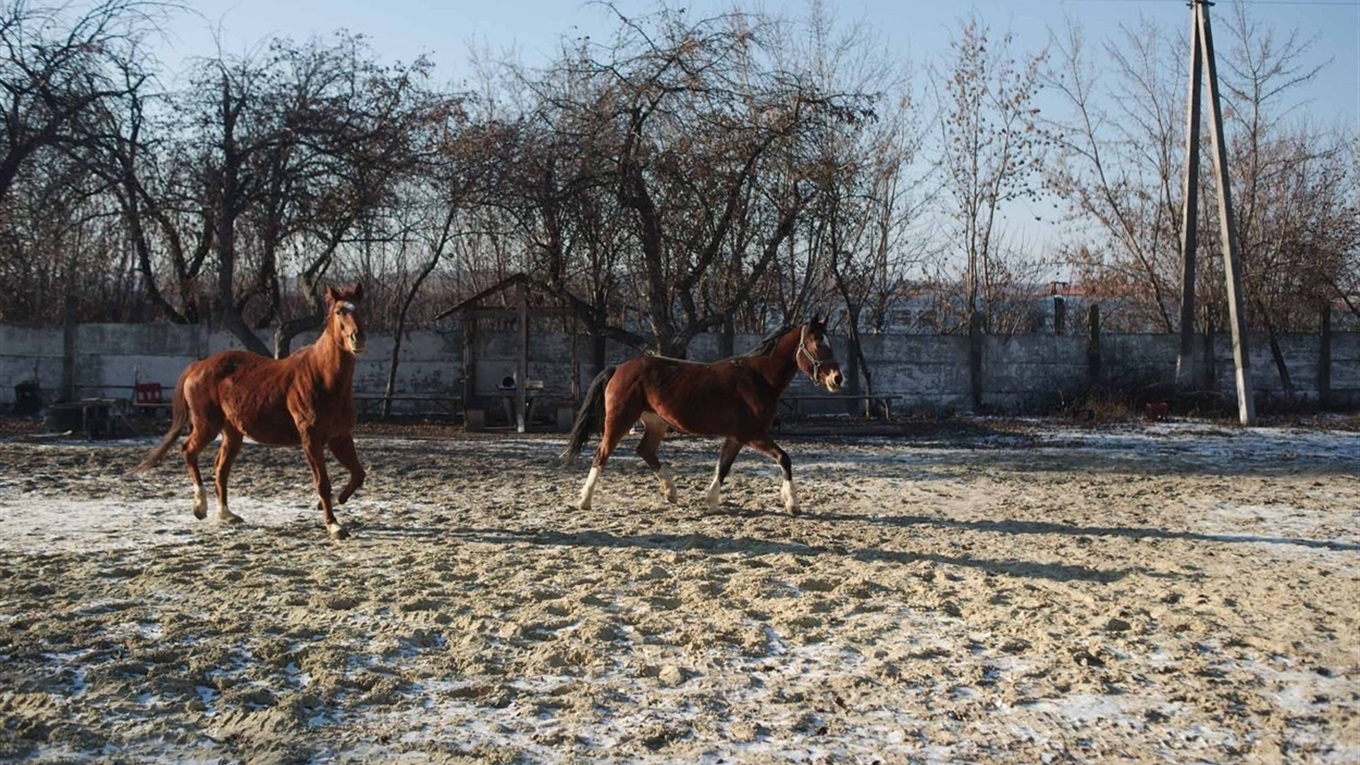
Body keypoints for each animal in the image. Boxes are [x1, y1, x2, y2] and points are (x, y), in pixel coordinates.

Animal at [131, 283, 367, 539]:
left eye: (361, 308)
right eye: (339, 311)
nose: (358, 339)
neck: (323, 377)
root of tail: (198, 366)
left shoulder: (339, 437)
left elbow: (358, 474)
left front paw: (331, 503)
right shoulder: (311, 440)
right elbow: (323, 482)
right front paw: (334, 525)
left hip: (232, 433)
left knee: (221, 469)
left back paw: (226, 514)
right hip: (207, 425)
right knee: (188, 451)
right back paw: (200, 506)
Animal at [560, 315, 837, 511]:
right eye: (817, 343)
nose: (837, 378)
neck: (758, 378)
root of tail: (618, 368)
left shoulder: (736, 437)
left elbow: (723, 467)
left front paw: (711, 501)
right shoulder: (753, 434)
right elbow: (784, 458)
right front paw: (793, 504)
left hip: (656, 422)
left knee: (645, 451)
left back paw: (670, 492)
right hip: (619, 420)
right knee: (602, 454)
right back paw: (585, 500)